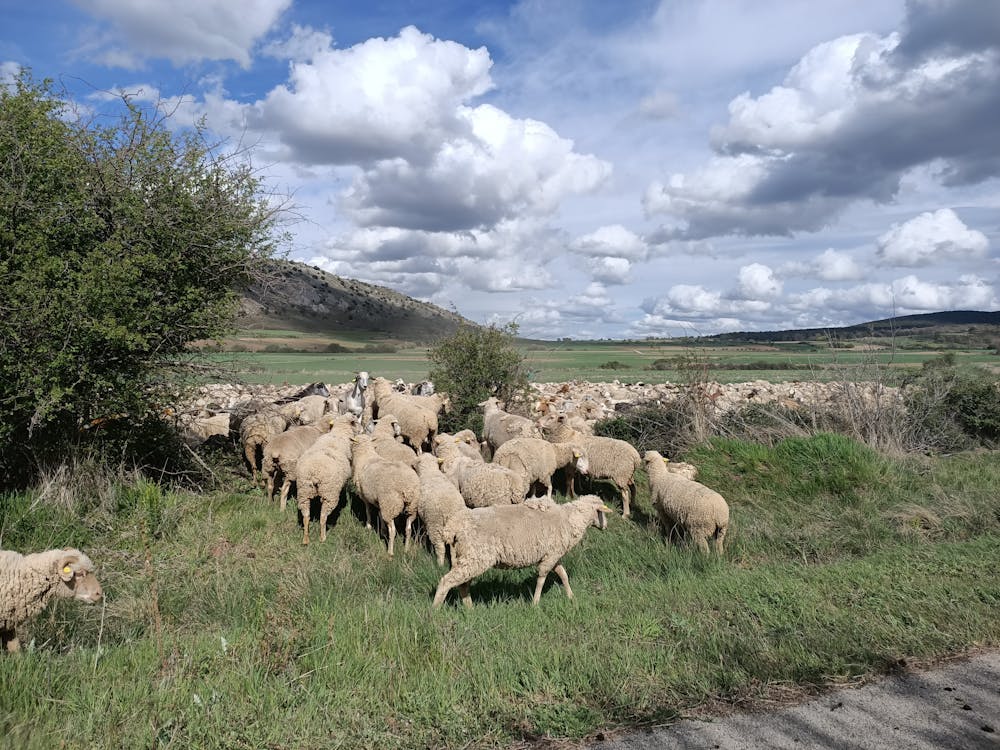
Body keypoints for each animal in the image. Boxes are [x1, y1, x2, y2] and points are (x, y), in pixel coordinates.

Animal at [434, 494, 612, 612]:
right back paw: (435, 611)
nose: (605, 527)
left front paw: (571, 597)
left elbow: (563, 575)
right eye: (602, 512)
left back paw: (470, 609)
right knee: (446, 581)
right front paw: (535, 603)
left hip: (465, 557)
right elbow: (541, 579)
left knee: (462, 585)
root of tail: (454, 526)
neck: (570, 519)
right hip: (475, 557)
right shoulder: (550, 556)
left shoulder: (553, 555)